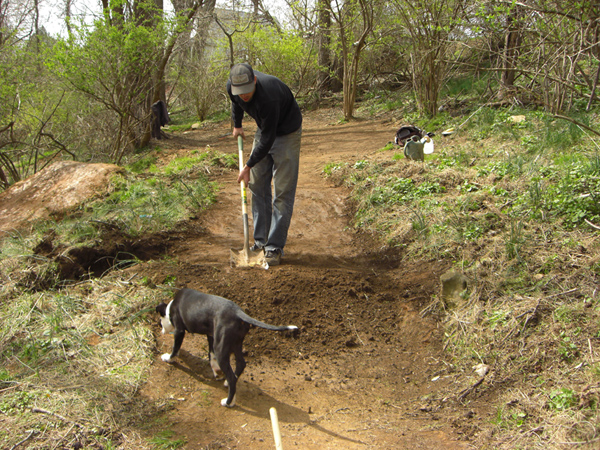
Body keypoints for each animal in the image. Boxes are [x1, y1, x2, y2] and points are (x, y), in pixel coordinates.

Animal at [154, 288, 296, 408]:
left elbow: (175, 348)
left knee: (232, 376)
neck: (170, 307)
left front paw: (168, 358)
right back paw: (228, 383)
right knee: (240, 364)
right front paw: (217, 371)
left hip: (222, 348)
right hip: (235, 343)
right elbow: (211, 356)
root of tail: (238, 312)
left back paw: (229, 402)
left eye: (160, 322)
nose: (161, 331)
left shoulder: (179, 331)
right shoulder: (211, 336)